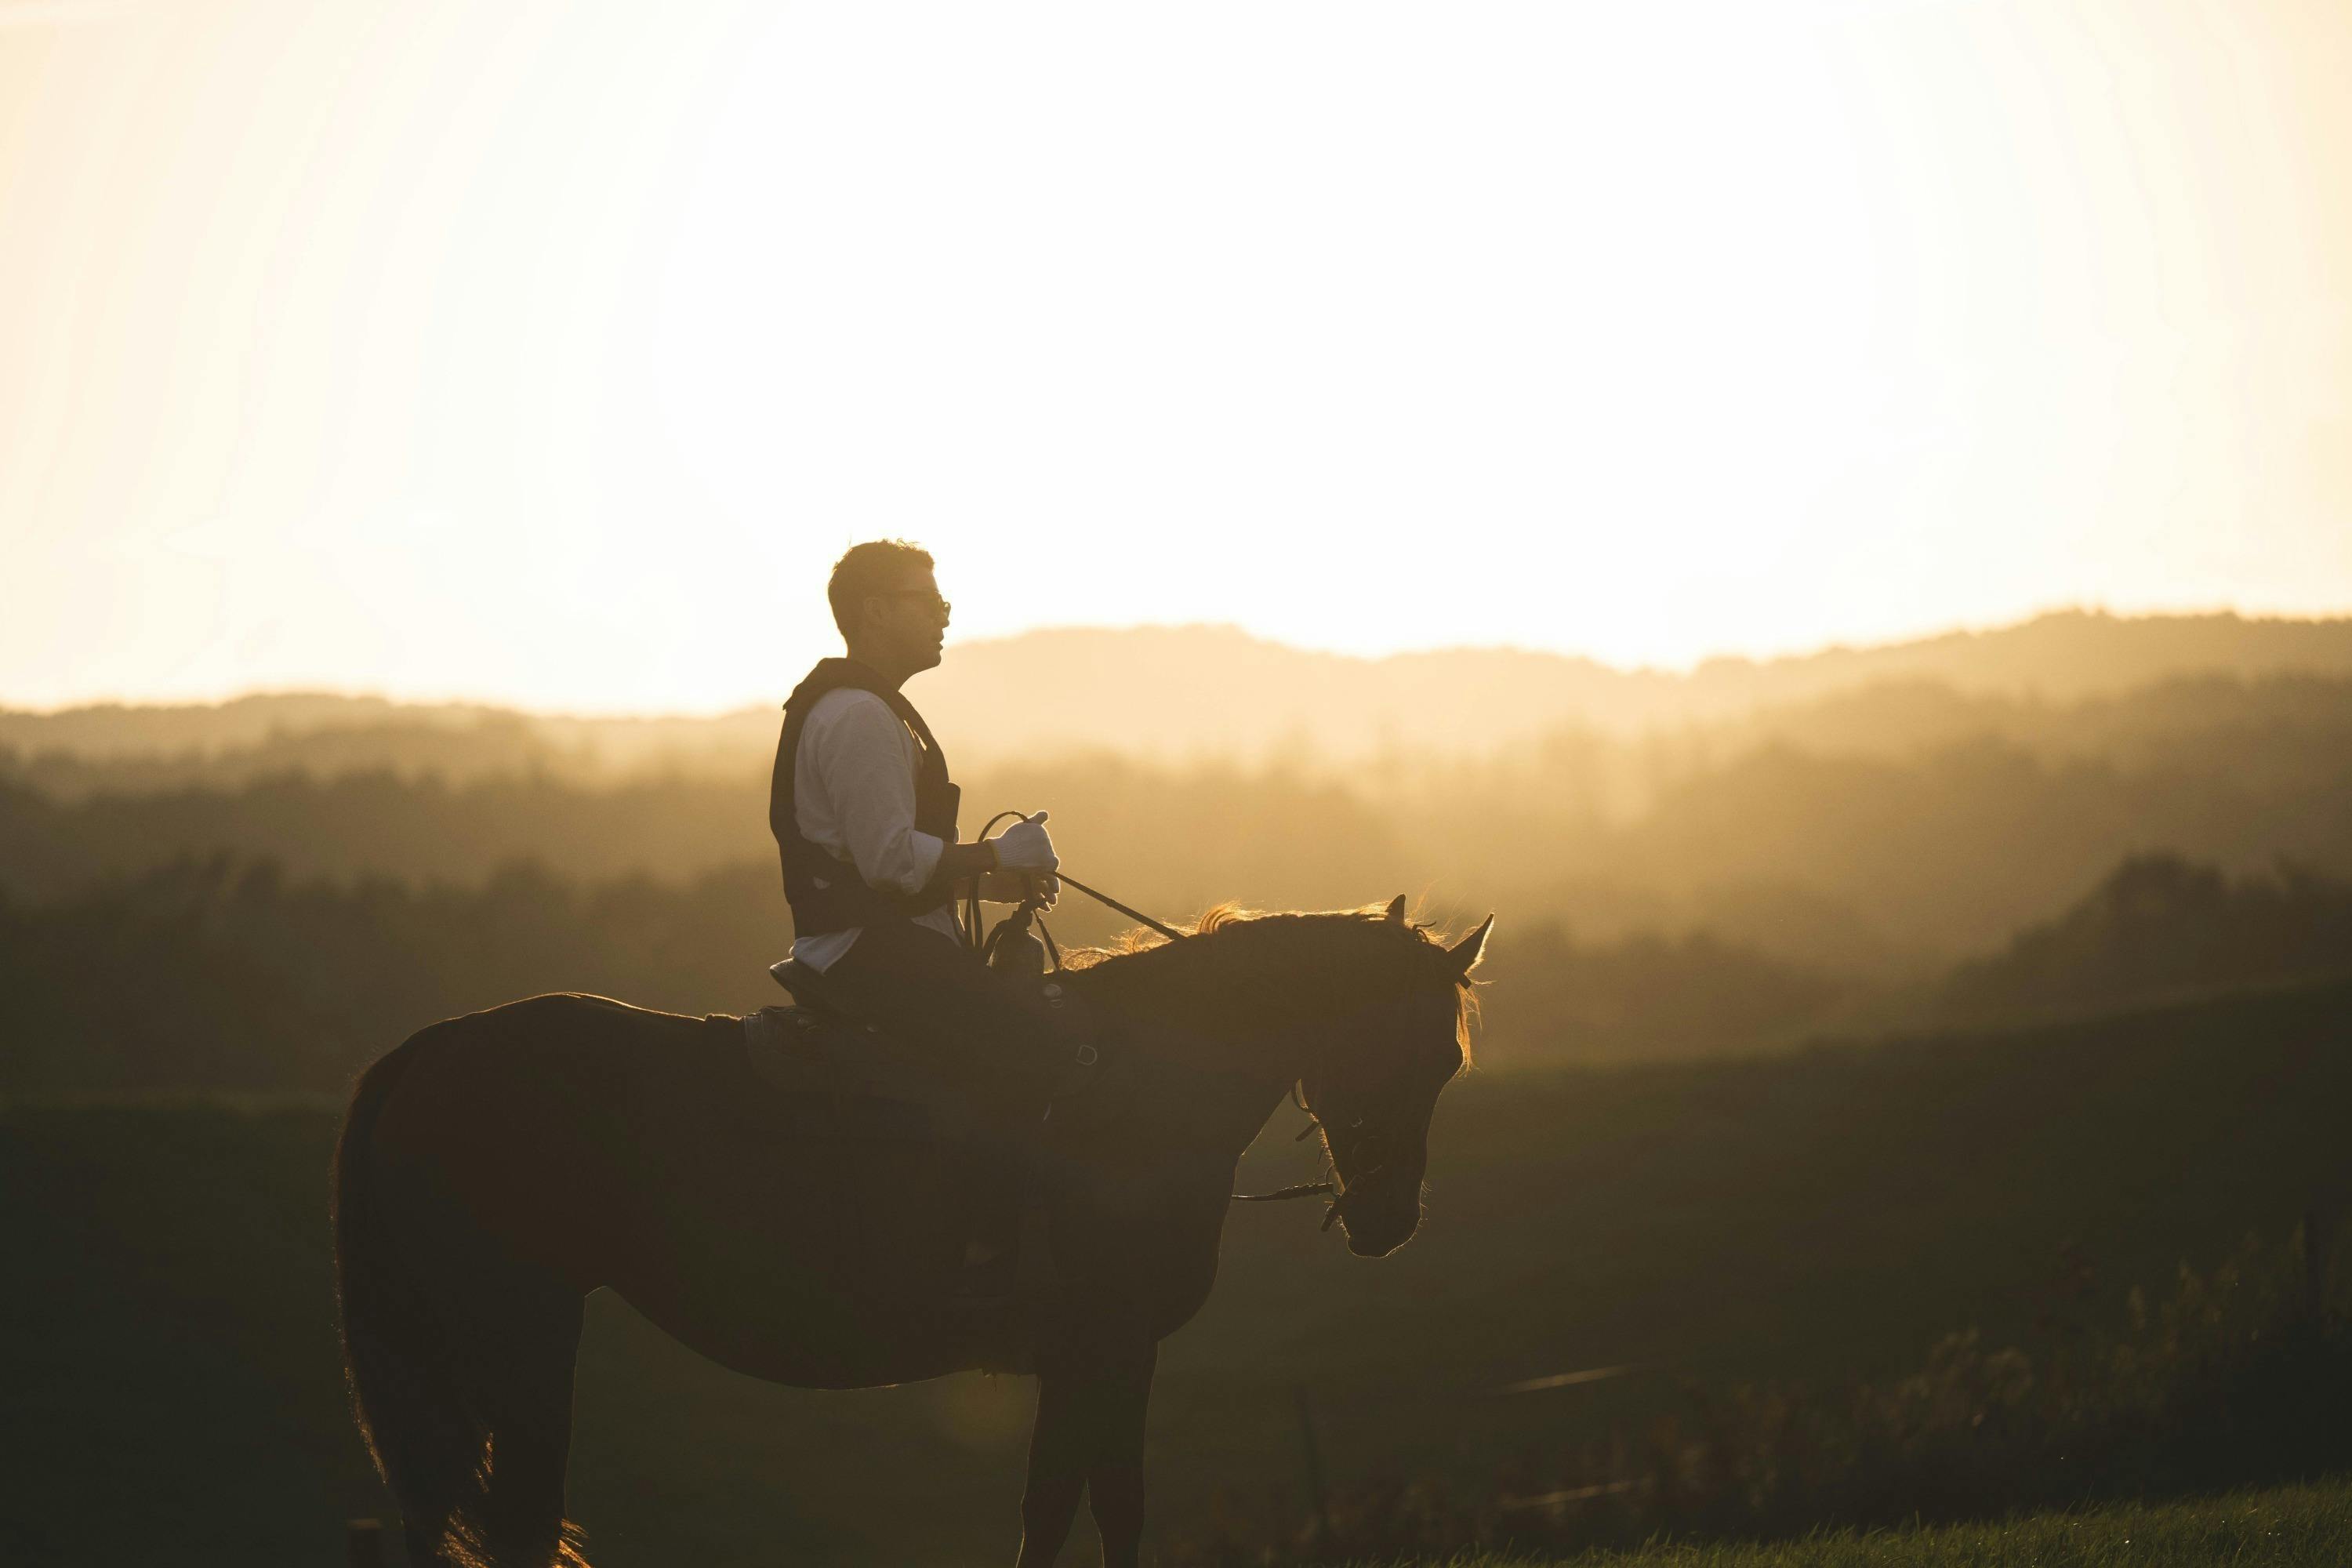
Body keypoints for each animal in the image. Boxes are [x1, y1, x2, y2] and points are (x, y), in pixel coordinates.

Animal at [332, 893, 1486, 1568]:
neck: (1139, 1093)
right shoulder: (1111, 1351)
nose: (1388, 1217)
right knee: (515, 1523)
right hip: (521, 1336)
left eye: (1449, 1063)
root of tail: (432, 1050)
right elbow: (1109, 1506)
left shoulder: (1079, 1363)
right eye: (1419, 1053)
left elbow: (1053, 1508)